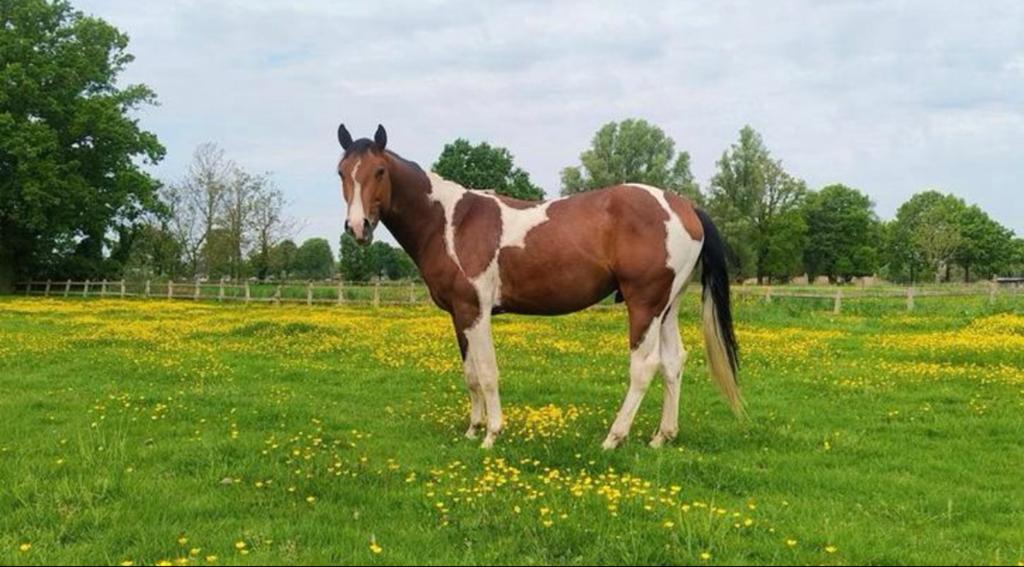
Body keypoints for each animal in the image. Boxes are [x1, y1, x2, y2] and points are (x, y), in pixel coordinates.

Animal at [336, 124, 742, 449]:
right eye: (341, 171)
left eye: (379, 171)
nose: (358, 227)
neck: (451, 223)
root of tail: (683, 206)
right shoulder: (458, 314)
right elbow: (470, 374)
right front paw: (472, 430)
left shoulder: (476, 311)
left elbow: (487, 372)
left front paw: (491, 435)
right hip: (667, 307)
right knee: (673, 363)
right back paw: (662, 437)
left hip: (644, 305)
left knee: (645, 366)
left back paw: (613, 438)